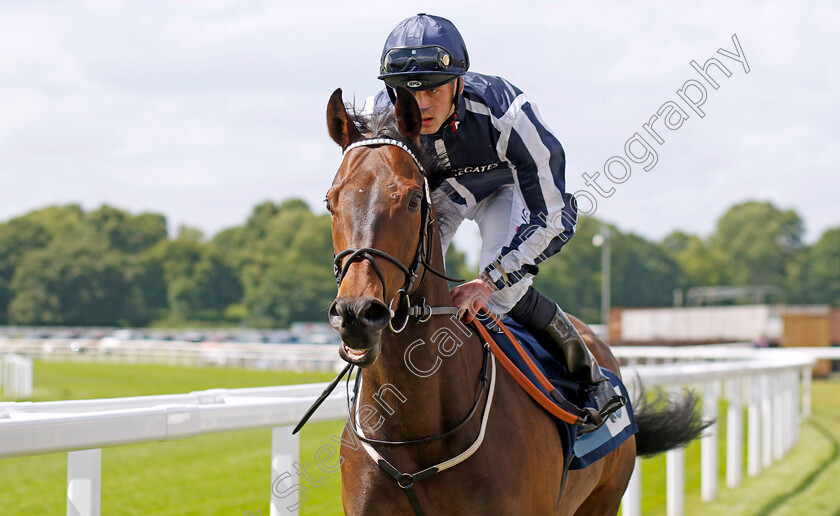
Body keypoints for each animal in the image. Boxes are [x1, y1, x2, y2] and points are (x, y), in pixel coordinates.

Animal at [324, 86, 704, 512]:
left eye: (411, 200)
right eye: (330, 201)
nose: (357, 313)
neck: (419, 436)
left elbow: (550, 218)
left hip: (604, 499)